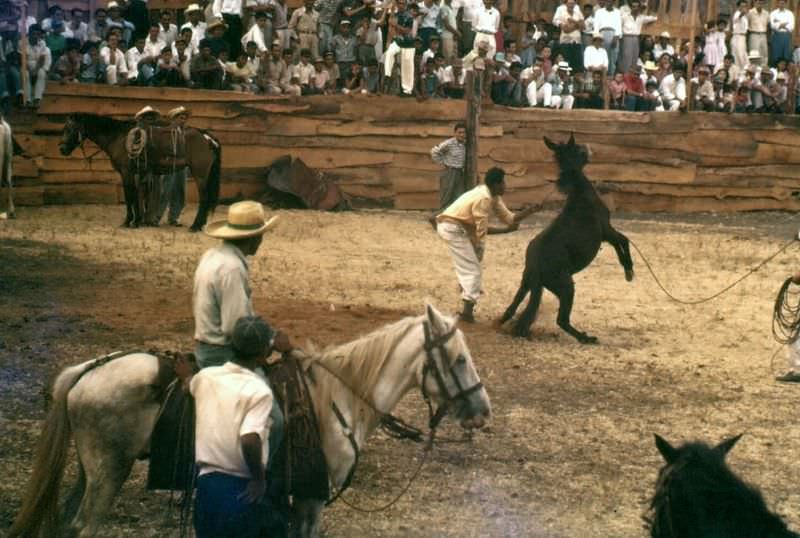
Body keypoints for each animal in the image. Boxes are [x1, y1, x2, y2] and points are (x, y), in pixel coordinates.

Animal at [9, 306, 490, 536]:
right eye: (459, 359)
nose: (483, 412)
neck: (336, 399)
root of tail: (90, 369)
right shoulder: (310, 500)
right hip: (108, 473)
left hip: (90, 472)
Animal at [500, 135, 632, 344]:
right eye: (577, 148)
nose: (589, 148)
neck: (581, 196)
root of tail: (536, 267)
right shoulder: (606, 230)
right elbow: (624, 241)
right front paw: (629, 271)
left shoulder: (606, 235)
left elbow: (620, 244)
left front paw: (627, 270)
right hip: (566, 287)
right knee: (561, 320)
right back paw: (587, 338)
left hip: (527, 283)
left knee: (514, 305)